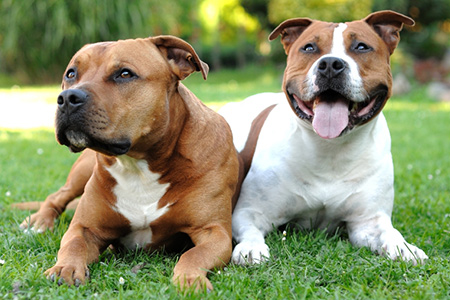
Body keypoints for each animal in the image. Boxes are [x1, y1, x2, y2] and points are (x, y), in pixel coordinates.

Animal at [18, 35, 239, 290]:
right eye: (71, 73)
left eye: (125, 74)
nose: (67, 98)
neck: (138, 165)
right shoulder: (84, 227)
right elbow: (73, 243)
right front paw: (66, 267)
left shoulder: (214, 232)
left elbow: (194, 254)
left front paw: (190, 279)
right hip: (81, 172)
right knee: (57, 196)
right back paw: (40, 221)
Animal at [221, 9, 428, 264]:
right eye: (309, 48)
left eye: (362, 47)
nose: (330, 64)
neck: (329, 149)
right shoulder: (249, 212)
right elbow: (250, 229)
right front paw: (251, 248)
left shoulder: (367, 221)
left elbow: (390, 232)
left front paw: (404, 247)